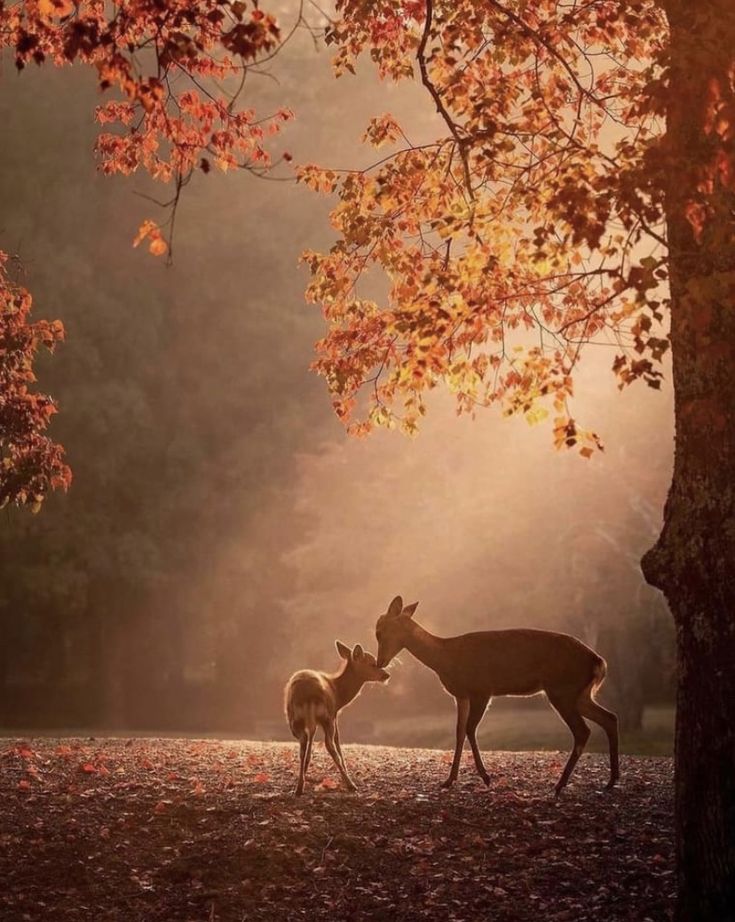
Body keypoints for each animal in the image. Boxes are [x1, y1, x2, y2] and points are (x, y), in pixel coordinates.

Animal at [284, 636, 392, 796]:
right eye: (373, 663)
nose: (386, 675)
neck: (338, 693)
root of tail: (307, 695)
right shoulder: (334, 714)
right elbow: (338, 740)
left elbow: (311, 743)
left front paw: (306, 772)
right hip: (325, 716)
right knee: (329, 744)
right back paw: (351, 784)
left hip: (294, 719)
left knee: (303, 742)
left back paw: (299, 787)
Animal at [376, 592, 620, 796]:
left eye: (380, 631)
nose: (380, 662)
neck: (446, 659)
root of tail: (599, 662)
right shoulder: (461, 695)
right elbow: (459, 732)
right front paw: (449, 780)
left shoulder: (482, 689)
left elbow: (470, 729)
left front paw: (485, 777)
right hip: (580, 694)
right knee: (609, 717)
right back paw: (611, 781)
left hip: (562, 689)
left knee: (583, 730)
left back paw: (560, 785)